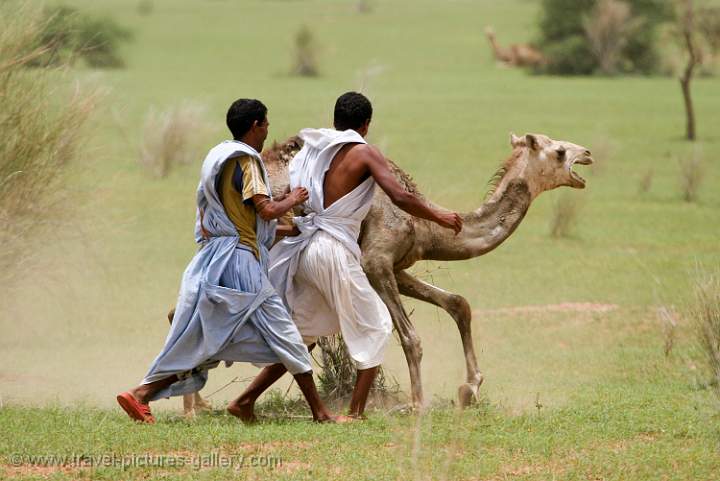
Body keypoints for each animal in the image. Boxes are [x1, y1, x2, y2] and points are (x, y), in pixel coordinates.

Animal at [262, 132, 593, 408]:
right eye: (560, 151)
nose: (587, 153)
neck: (424, 226)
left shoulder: (396, 266)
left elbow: (458, 303)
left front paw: (470, 387)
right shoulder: (376, 260)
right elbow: (411, 338)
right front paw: (417, 403)